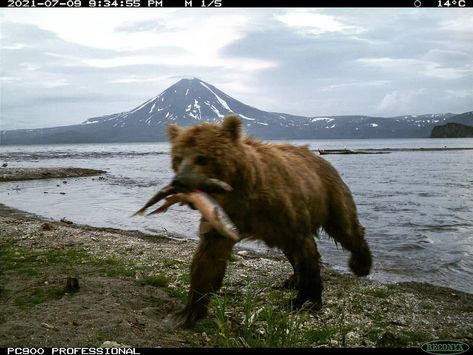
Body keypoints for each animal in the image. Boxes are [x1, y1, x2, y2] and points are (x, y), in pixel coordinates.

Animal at [164, 114, 370, 328]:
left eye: (202, 157)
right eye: (178, 157)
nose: (179, 182)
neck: (242, 191)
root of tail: (320, 158)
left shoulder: (285, 209)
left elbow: (305, 252)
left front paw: (305, 301)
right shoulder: (224, 216)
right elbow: (207, 259)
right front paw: (187, 312)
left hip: (330, 195)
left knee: (345, 228)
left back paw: (361, 263)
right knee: (292, 251)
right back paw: (292, 280)